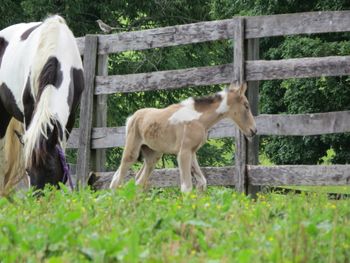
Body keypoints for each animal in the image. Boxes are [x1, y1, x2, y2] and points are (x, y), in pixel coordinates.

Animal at [110, 83, 256, 193]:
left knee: (139, 182)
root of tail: (131, 118)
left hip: (152, 156)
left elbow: (202, 182)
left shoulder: (192, 152)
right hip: (131, 152)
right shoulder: (183, 153)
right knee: (117, 180)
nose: (253, 131)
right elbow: (186, 187)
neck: (199, 119)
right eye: (246, 105)